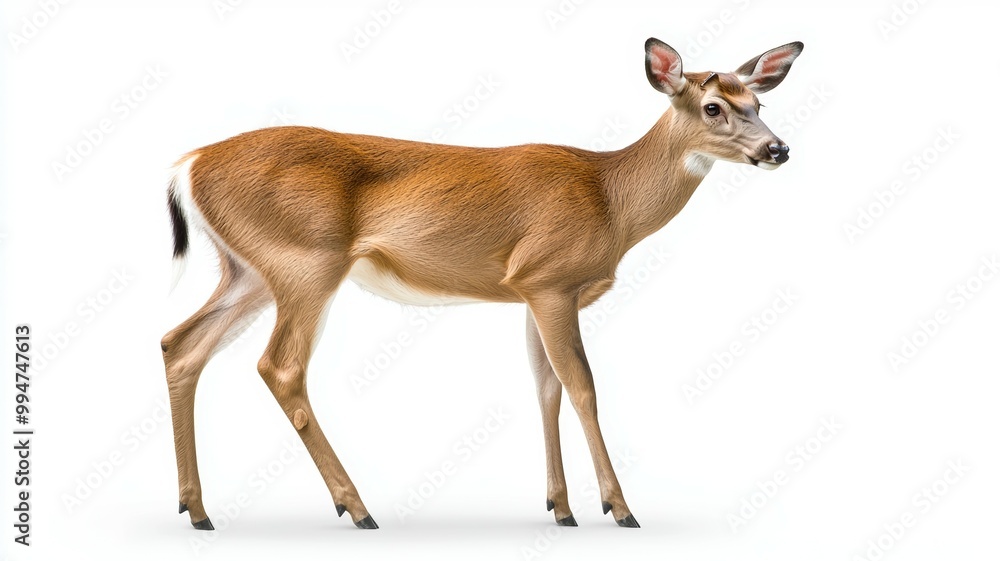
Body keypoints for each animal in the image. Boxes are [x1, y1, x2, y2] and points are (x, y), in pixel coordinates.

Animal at [161, 37, 803, 531]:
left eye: (760, 100)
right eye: (715, 106)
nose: (778, 148)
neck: (611, 199)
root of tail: (186, 166)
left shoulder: (531, 292)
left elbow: (545, 386)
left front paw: (561, 508)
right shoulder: (549, 279)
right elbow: (582, 386)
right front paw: (618, 508)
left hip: (249, 270)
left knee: (180, 345)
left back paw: (198, 510)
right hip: (306, 261)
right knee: (280, 365)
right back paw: (358, 508)